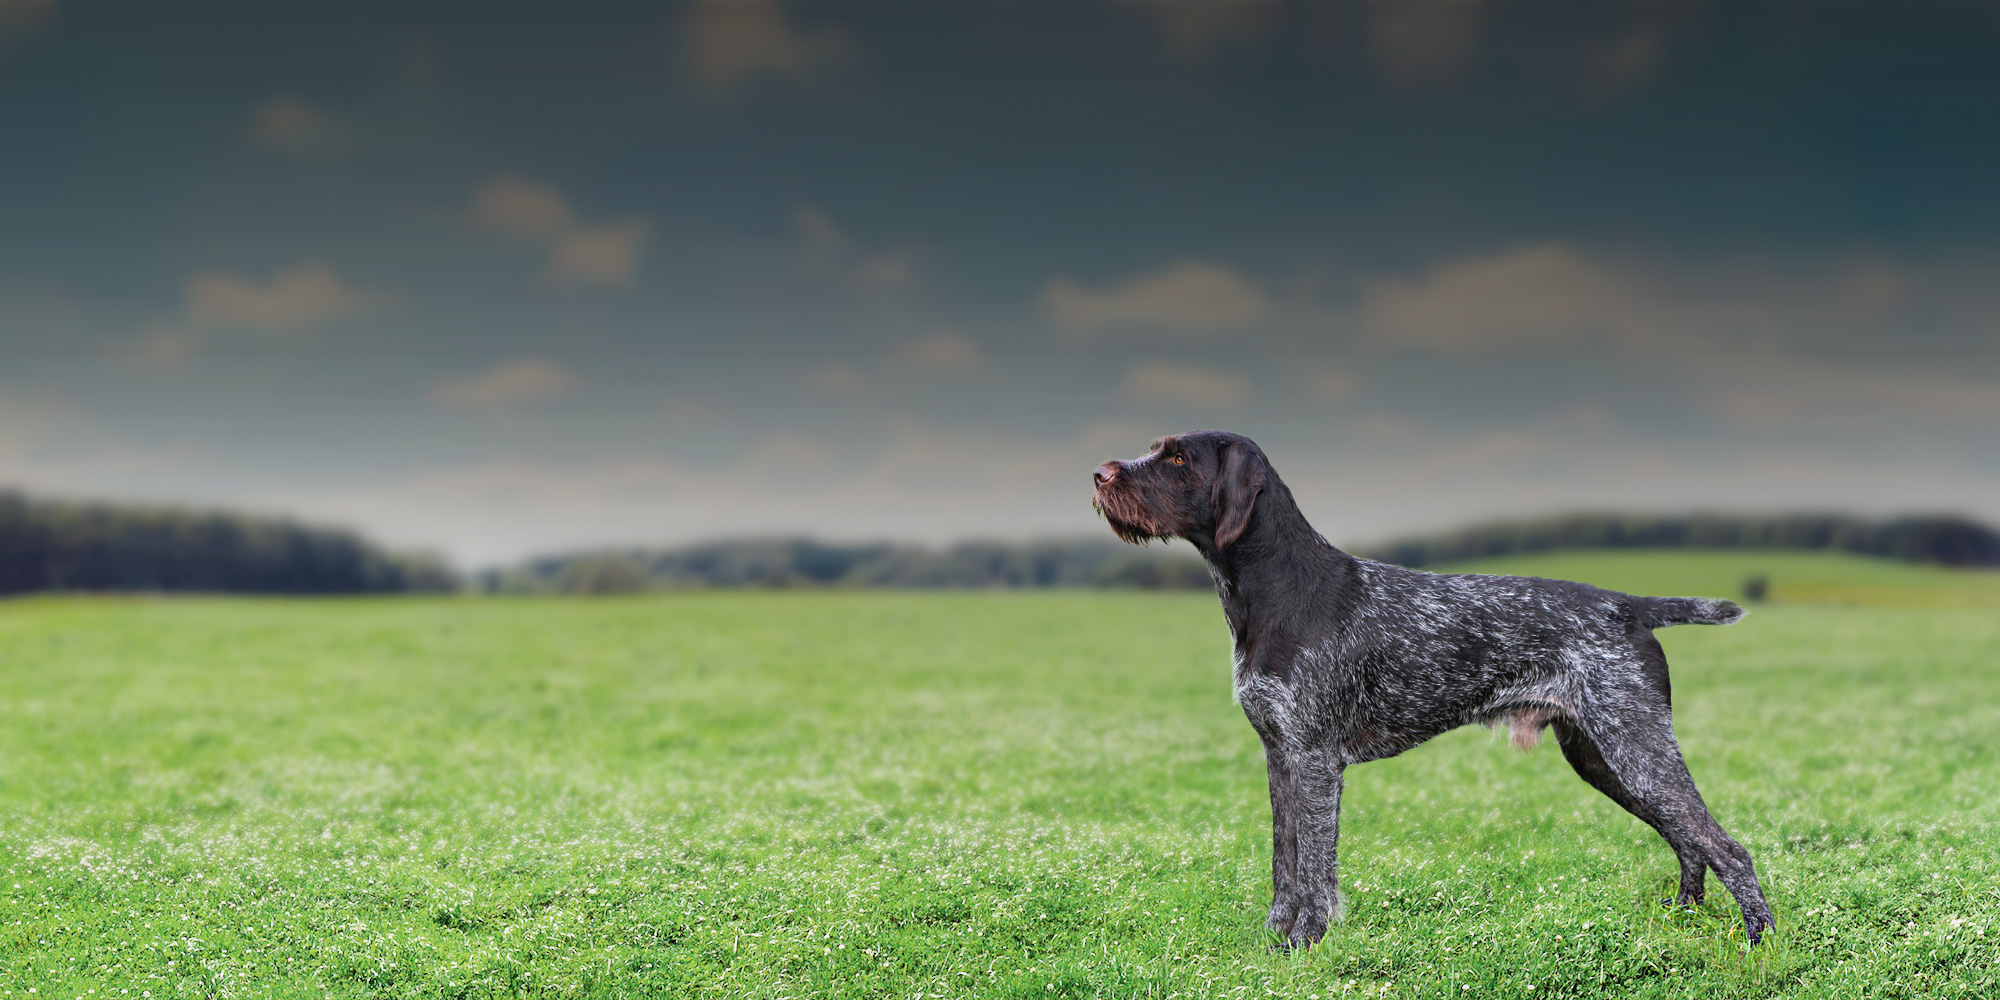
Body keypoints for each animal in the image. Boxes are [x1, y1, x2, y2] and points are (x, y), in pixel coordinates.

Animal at [1096, 428, 1784, 944]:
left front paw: (1307, 941)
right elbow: (1283, 863)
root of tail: (1629, 605)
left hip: (1636, 748)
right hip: (1603, 756)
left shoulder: (1314, 761)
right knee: (1688, 840)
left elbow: (1314, 868)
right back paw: (1684, 914)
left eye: (1177, 458)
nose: (1099, 474)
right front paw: (1275, 939)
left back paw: (1759, 941)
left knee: (1727, 847)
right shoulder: (1279, 757)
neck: (1275, 591)